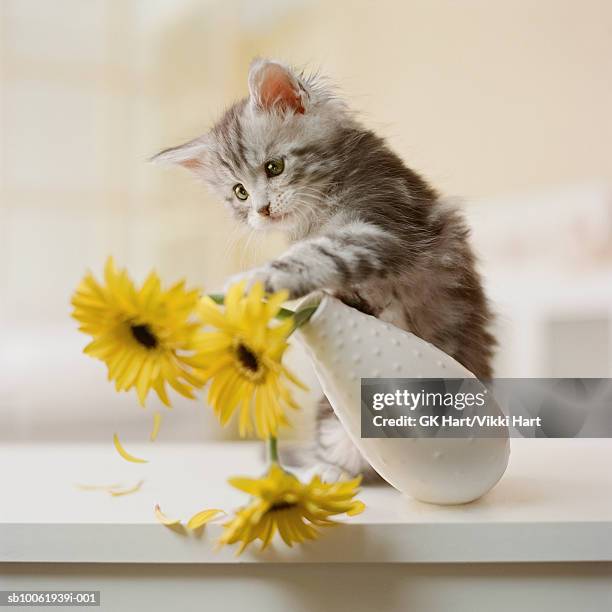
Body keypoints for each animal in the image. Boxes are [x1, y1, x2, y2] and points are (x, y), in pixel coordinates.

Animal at [155, 61, 494, 482]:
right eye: (239, 193)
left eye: (274, 167)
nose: (261, 211)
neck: (320, 204)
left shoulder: (381, 229)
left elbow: (316, 255)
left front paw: (252, 283)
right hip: (335, 417)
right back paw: (328, 474)